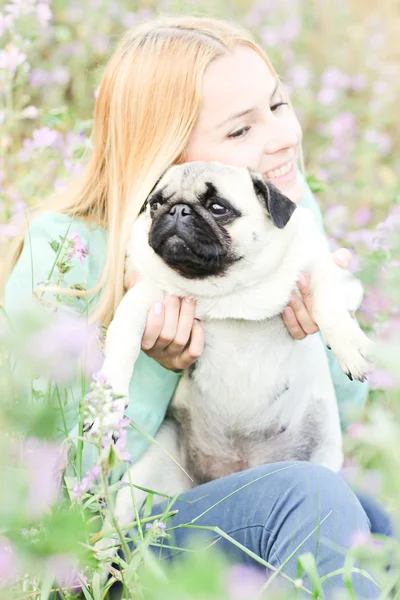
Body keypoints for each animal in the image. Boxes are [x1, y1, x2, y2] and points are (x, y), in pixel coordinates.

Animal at [92, 161, 374, 536]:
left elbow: (329, 302)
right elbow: (122, 344)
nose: (177, 210)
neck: (227, 290)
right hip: (144, 483)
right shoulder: (146, 298)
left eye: (218, 208)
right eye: (156, 204)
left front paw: (349, 346)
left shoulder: (325, 272)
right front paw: (107, 408)